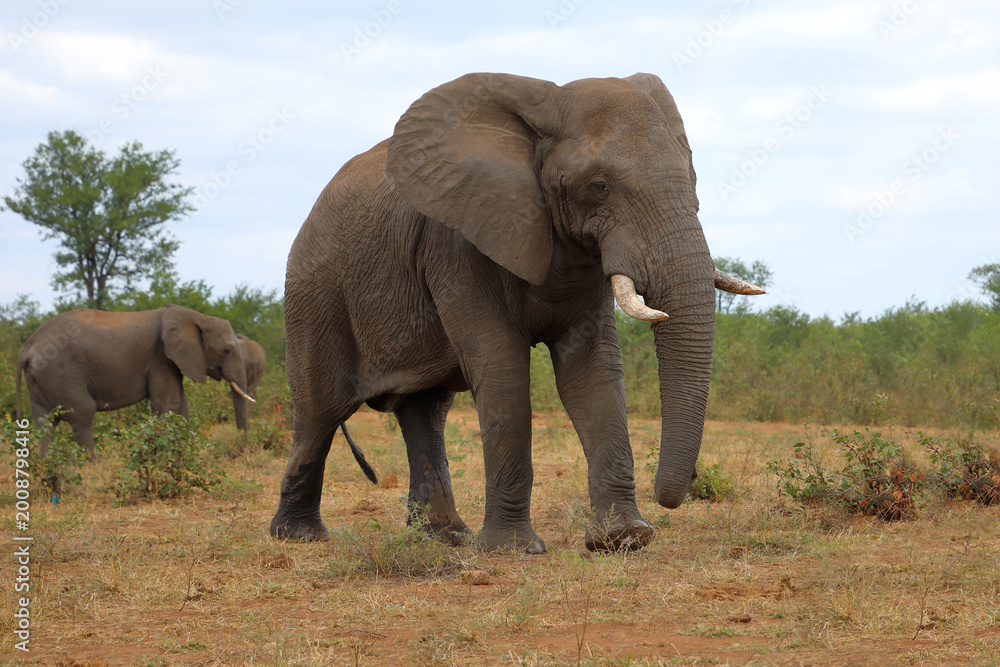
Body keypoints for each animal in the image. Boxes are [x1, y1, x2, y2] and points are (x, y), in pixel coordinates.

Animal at [15, 305, 256, 458]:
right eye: (227, 350)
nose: (230, 453)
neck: (197, 317)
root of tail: (26, 350)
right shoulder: (161, 359)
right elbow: (168, 405)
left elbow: (181, 406)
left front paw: (185, 455)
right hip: (61, 374)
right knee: (82, 414)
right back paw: (96, 467)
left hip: (41, 380)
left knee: (45, 422)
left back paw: (46, 466)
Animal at [270, 72, 763, 553]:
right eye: (599, 186)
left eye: (692, 178)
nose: (679, 491)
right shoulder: (459, 244)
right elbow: (502, 364)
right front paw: (513, 549)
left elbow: (592, 371)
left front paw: (623, 538)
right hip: (315, 294)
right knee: (319, 413)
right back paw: (300, 536)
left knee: (425, 412)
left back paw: (444, 538)